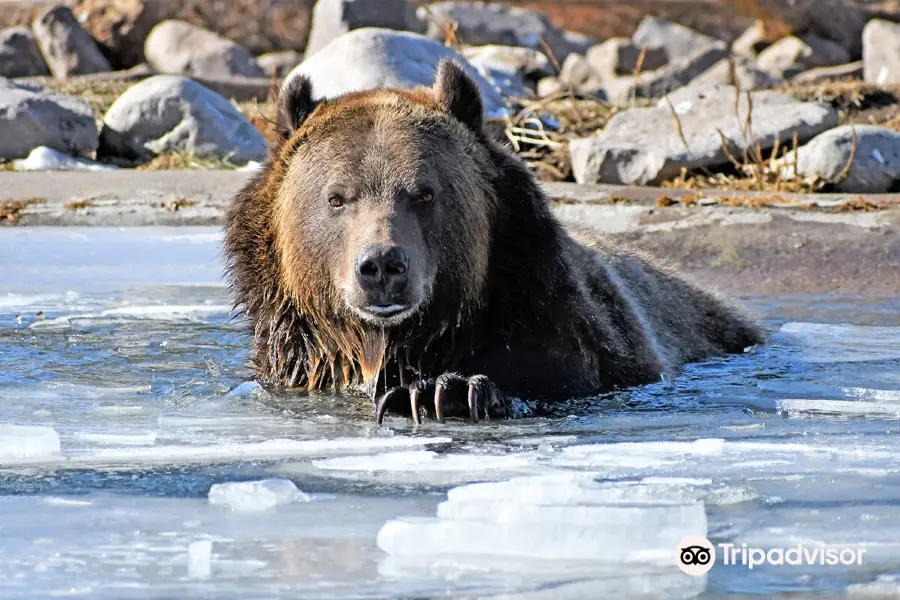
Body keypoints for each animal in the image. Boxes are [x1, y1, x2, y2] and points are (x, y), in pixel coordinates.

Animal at [221, 58, 764, 424]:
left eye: (424, 193)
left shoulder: (557, 324)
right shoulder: (298, 358)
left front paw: (442, 392)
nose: (382, 266)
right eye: (337, 198)